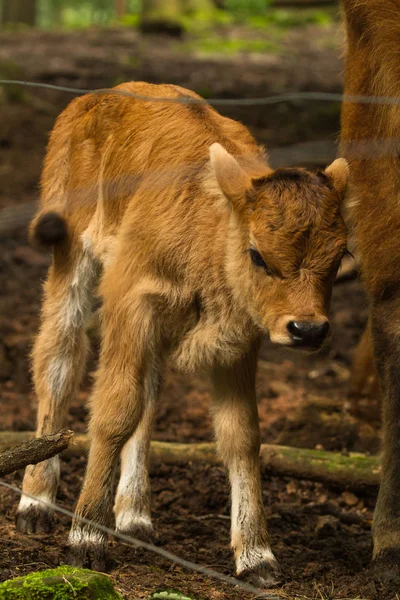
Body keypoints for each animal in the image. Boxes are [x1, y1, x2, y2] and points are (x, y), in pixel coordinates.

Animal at [15, 81, 346, 584]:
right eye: (257, 254)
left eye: (340, 255)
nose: (307, 330)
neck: (210, 229)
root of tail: (94, 98)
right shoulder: (130, 304)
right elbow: (114, 411)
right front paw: (85, 541)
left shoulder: (237, 340)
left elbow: (241, 434)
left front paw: (257, 557)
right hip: (70, 263)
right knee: (59, 360)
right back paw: (35, 504)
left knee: (149, 395)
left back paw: (134, 516)